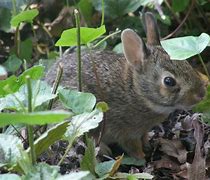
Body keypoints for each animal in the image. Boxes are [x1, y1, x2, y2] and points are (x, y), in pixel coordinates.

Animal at [45, 12, 208, 159]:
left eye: (187, 63)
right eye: (169, 81)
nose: (201, 94)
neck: (136, 91)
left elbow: (143, 137)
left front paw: (147, 145)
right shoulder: (126, 132)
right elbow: (132, 146)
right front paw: (142, 157)